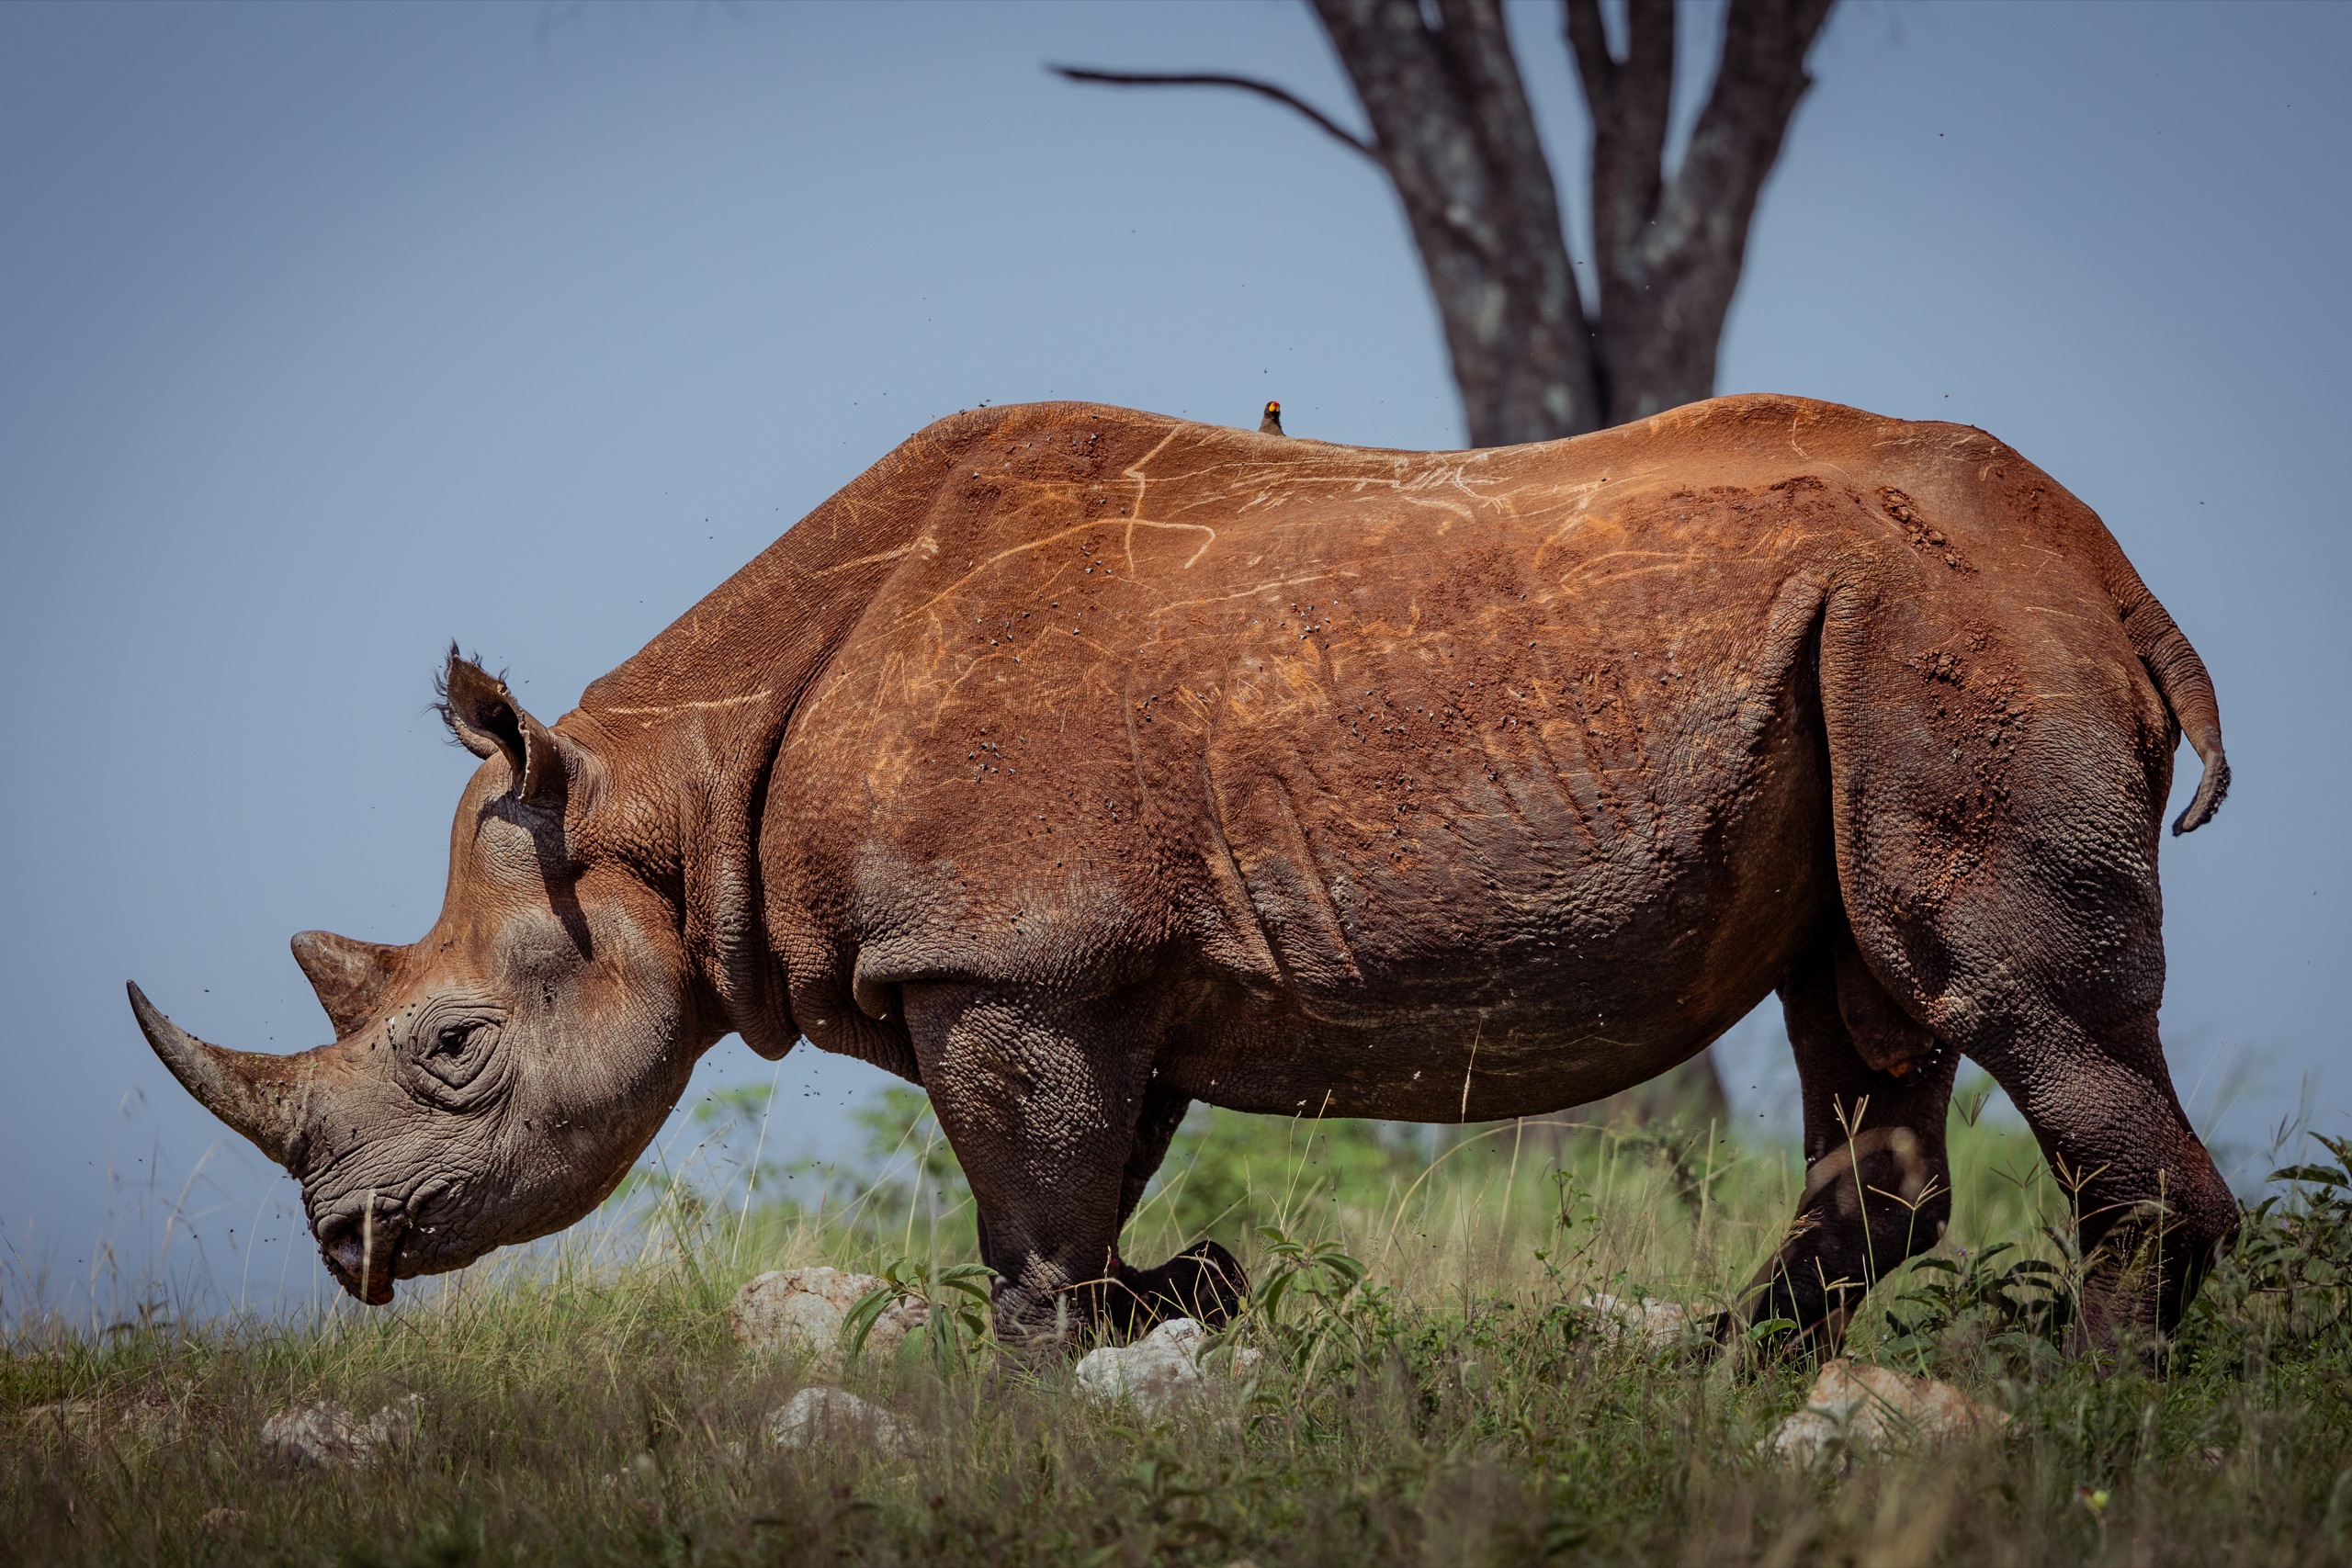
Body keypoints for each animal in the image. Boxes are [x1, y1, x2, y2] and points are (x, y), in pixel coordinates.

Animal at [131, 394, 2235, 1348]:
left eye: (454, 1049)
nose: (343, 1244)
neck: (664, 801)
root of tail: (2122, 583)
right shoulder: (1076, 976)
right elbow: (1072, 1208)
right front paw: (1200, 1289)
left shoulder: (1008, 964)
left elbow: (1031, 1238)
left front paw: (1062, 1384)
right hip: (1881, 651)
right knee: (1863, 1015)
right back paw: (1718, 1379)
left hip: (1946, 636)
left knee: (1994, 989)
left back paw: (2078, 1396)